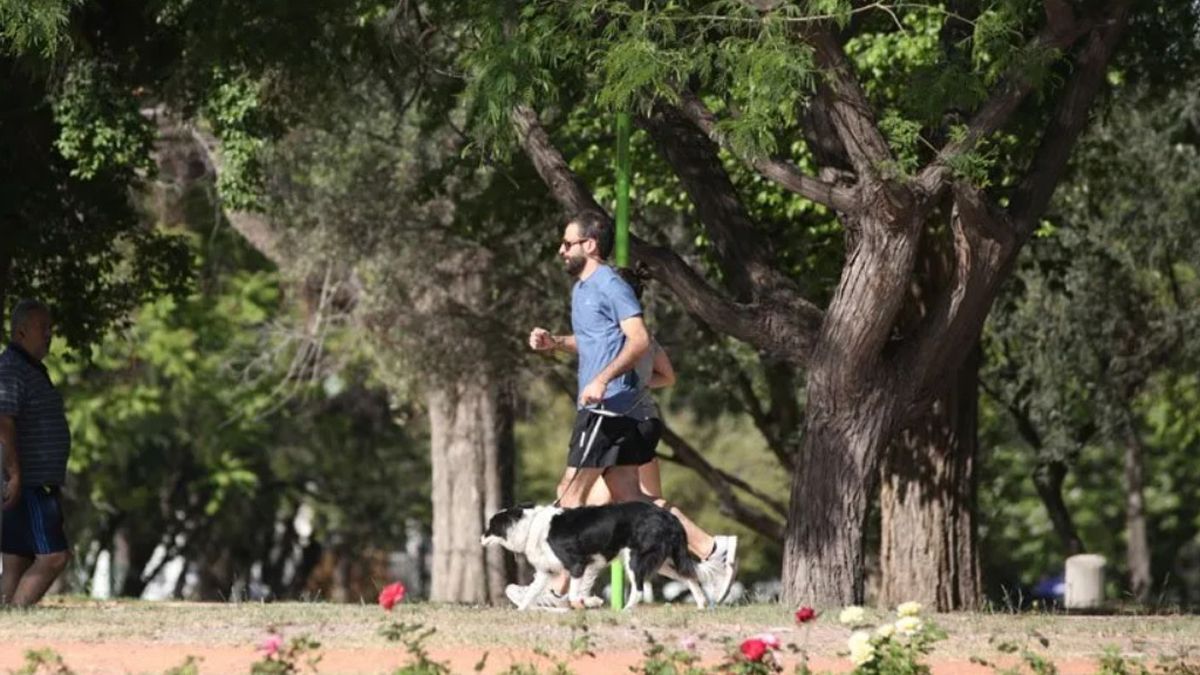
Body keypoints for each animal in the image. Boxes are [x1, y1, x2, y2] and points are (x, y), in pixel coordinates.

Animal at [477, 499, 700, 610]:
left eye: (490, 527)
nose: (479, 539)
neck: (530, 526)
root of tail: (668, 515)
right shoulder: (545, 571)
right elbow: (532, 592)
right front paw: (520, 610)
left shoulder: (577, 564)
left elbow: (573, 593)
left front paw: (589, 602)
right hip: (665, 561)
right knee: (690, 577)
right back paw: (701, 605)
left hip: (635, 559)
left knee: (638, 590)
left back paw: (626, 611)